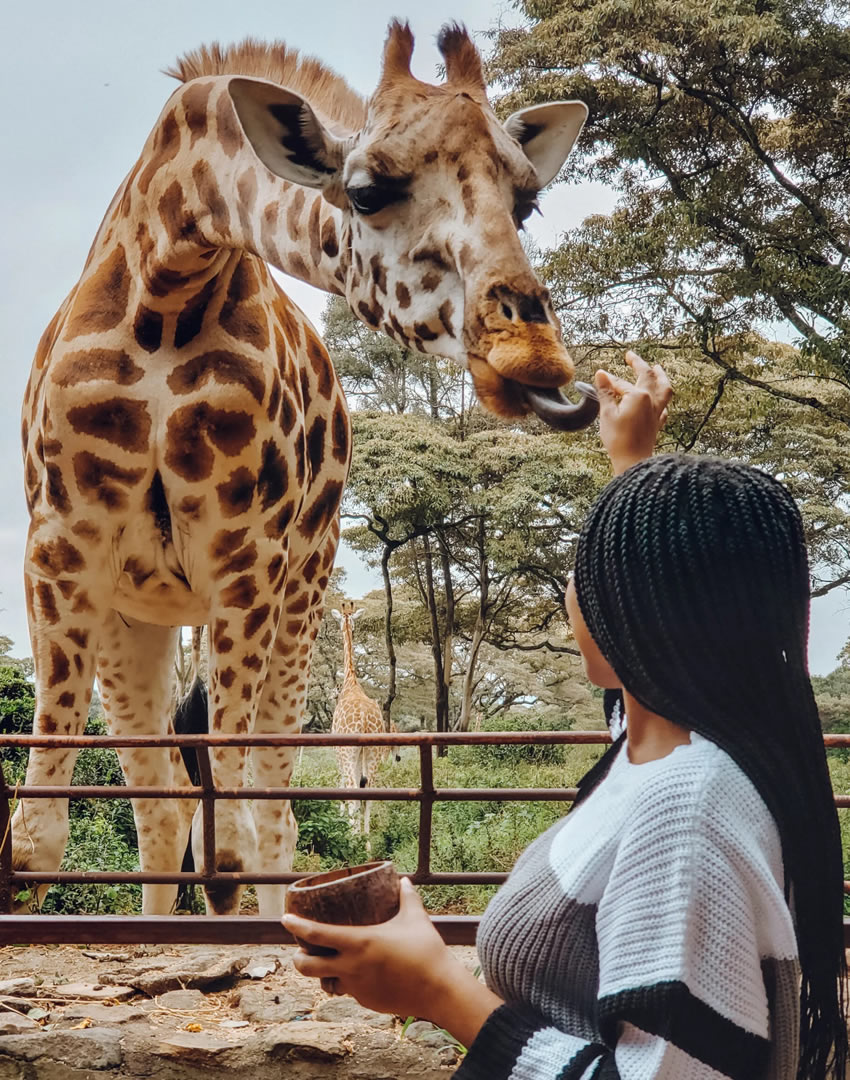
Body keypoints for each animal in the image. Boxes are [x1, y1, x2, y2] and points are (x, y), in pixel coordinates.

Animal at [11, 21, 596, 918]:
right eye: (366, 191)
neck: (166, 291)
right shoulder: (57, 551)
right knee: (162, 808)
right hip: (135, 616)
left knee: (265, 812)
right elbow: (38, 842)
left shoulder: (246, 558)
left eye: (525, 201)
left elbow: (233, 838)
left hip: (300, 595)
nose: (534, 359)